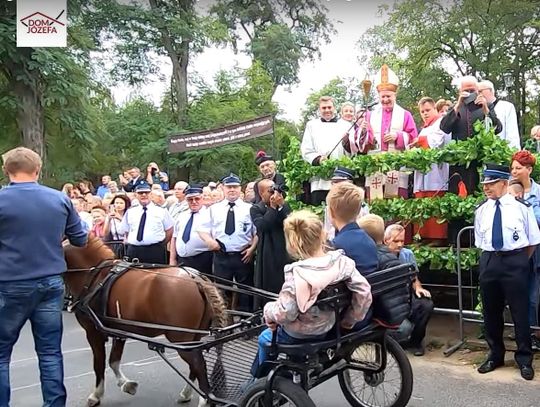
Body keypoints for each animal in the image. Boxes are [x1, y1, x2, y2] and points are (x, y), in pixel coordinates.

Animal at [64, 237, 227, 406]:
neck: (96, 275)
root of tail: (197, 279)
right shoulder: (120, 331)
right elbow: (113, 361)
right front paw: (127, 384)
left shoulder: (92, 332)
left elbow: (99, 364)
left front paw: (96, 395)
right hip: (192, 339)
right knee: (195, 366)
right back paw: (186, 393)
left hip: (181, 339)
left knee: (198, 365)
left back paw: (204, 399)